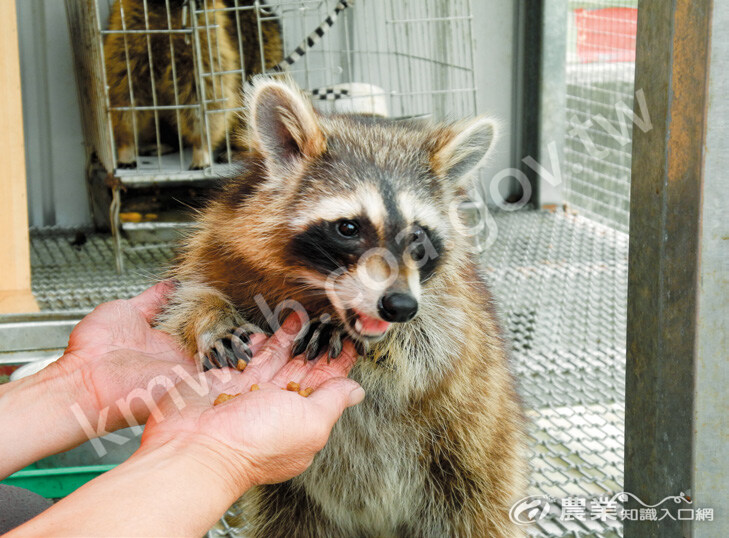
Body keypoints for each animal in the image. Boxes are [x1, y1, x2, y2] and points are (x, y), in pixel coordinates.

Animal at [102, 0, 282, 170]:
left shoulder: (207, 44)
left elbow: (209, 99)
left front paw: (201, 146)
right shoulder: (128, 35)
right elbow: (124, 94)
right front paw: (126, 143)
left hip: (265, 54)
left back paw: (237, 147)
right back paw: (166, 140)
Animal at [156, 76, 528, 536]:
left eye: (418, 237)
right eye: (349, 228)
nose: (399, 306)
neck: (312, 287)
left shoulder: (453, 302)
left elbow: (434, 346)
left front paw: (352, 329)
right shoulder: (218, 240)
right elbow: (188, 295)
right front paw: (211, 319)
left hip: (476, 467)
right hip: (290, 500)